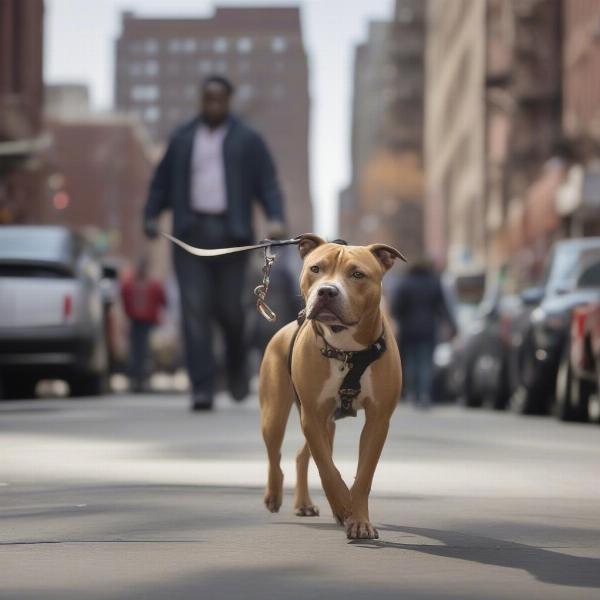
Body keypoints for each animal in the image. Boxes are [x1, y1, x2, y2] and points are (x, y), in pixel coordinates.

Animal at [258, 234, 404, 540]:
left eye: (358, 274)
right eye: (316, 268)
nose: (326, 291)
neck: (346, 349)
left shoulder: (378, 419)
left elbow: (363, 475)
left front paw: (358, 519)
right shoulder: (312, 415)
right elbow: (327, 469)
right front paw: (343, 505)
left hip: (327, 423)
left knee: (302, 456)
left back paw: (304, 503)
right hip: (275, 414)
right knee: (276, 455)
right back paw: (274, 495)